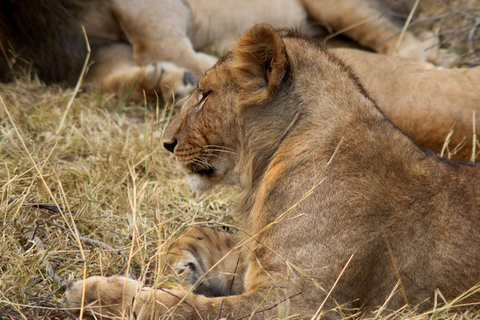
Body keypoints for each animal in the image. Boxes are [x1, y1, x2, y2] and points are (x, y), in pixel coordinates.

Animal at [64, 23, 480, 318]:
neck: (273, 162)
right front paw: (179, 265)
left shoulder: (293, 303)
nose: (167, 143)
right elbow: (200, 232)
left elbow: (184, 309)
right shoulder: (259, 258)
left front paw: (96, 294)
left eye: (205, 95)